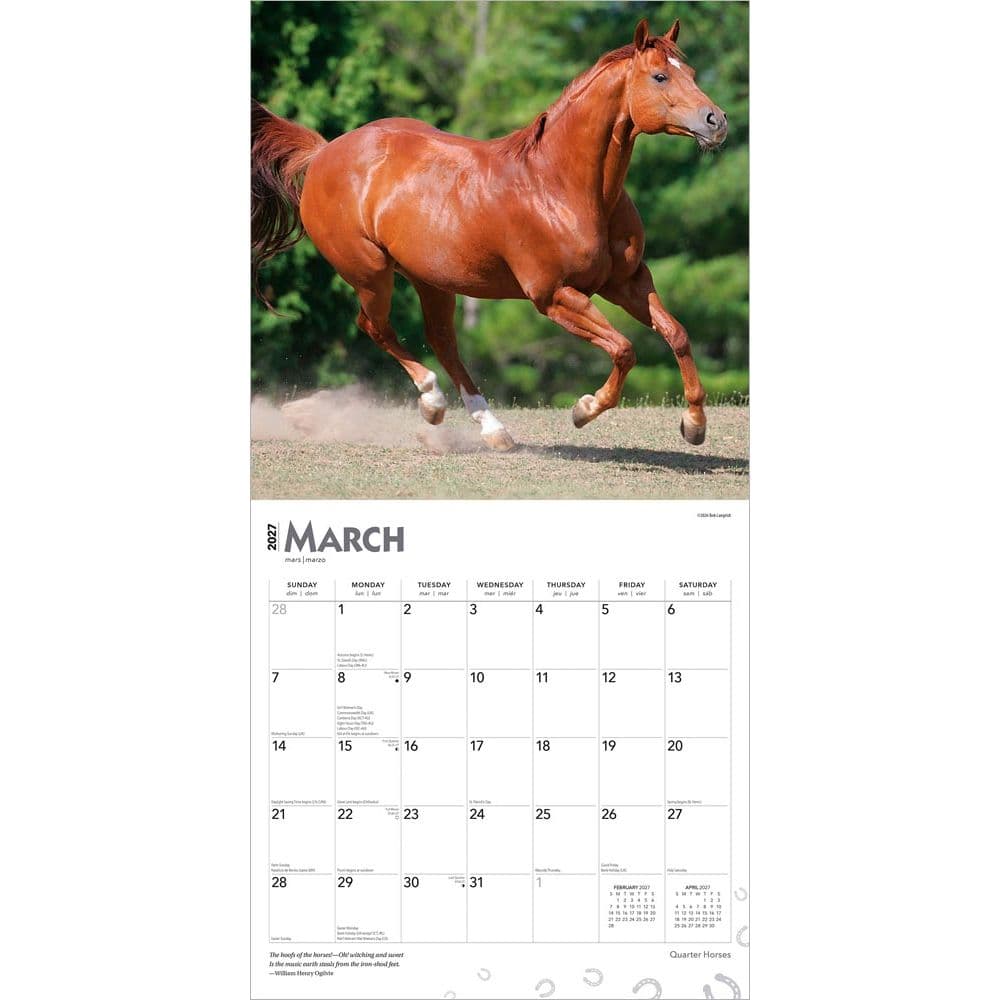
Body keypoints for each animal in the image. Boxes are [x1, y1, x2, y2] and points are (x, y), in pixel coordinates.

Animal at [252, 18, 728, 451]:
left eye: (691, 73)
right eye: (660, 76)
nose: (717, 121)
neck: (561, 186)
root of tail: (323, 152)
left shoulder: (626, 281)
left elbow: (677, 334)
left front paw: (694, 426)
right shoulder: (554, 296)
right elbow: (624, 348)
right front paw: (584, 408)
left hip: (431, 280)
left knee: (442, 341)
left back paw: (493, 430)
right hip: (369, 272)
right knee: (375, 326)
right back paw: (431, 402)